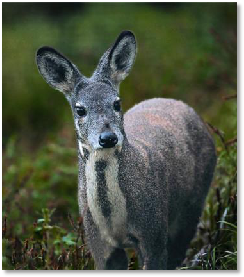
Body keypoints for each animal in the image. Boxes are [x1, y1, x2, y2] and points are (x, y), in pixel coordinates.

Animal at [35, 30, 216, 270]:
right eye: (80, 109)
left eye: (117, 103)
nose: (108, 138)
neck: (113, 220)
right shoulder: (98, 242)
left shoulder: (153, 230)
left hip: (193, 203)